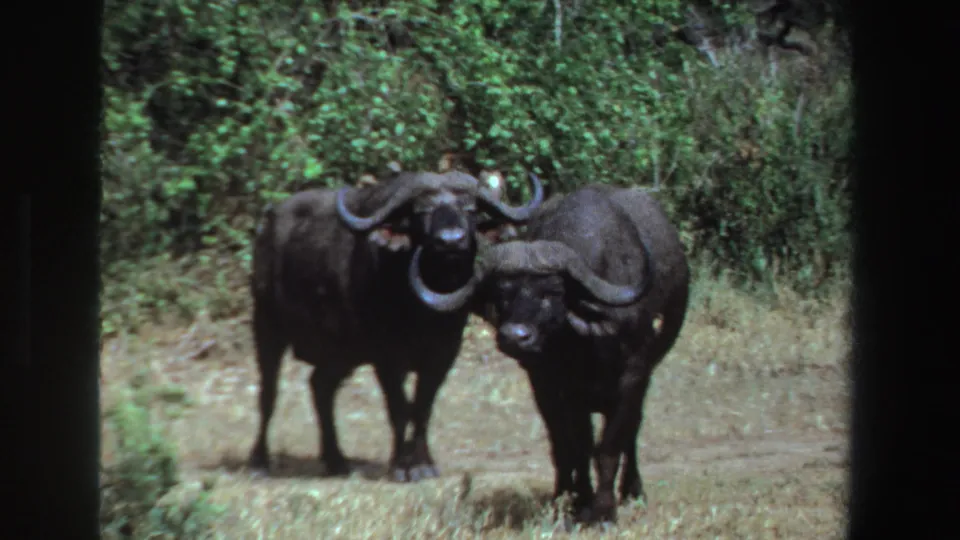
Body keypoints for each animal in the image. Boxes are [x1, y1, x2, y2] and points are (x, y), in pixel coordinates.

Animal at [248, 168, 543, 482]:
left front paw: (423, 464)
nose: (451, 241)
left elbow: (423, 408)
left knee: (321, 387)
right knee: (269, 393)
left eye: (470, 209)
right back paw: (259, 461)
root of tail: (268, 224)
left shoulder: (444, 354)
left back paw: (337, 460)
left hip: (340, 352)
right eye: (422, 211)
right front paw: (402, 466)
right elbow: (399, 408)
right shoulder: (386, 357)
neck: (423, 310)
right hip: (266, 325)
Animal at [415, 184, 690, 522]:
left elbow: (611, 445)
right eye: (502, 293)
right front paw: (581, 504)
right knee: (562, 444)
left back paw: (631, 490)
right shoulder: (561, 387)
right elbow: (578, 446)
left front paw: (604, 511)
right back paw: (564, 493)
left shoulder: (634, 378)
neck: (588, 344)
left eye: (552, 293)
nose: (514, 337)